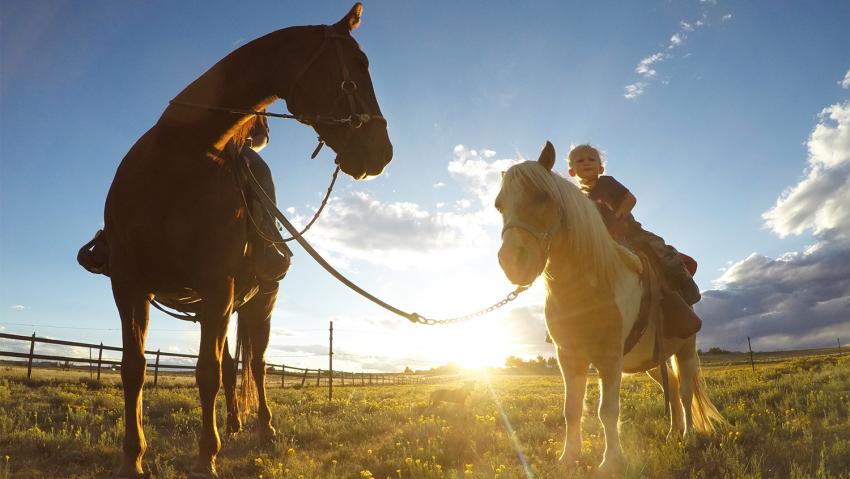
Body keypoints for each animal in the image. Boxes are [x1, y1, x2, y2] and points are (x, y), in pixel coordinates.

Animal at [93, 4, 392, 478]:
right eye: (358, 65)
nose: (381, 151)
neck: (176, 163)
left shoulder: (217, 286)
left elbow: (207, 373)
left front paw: (205, 458)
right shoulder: (129, 284)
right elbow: (133, 369)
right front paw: (132, 458)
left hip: (259, 300)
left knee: (258, 364)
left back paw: (264, 429)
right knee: (237, 365)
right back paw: (233, 423)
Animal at [495, 142, 725, 474]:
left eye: (543, 197)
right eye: (499, 206)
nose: (513, 262)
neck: (588, 288)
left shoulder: (609, 358)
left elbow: (608, 411)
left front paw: (611, 461)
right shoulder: (569, 357)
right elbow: (571, 409)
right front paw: (568, 458)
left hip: (685, 350)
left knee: (683, 392)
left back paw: (689, 437)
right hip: (652, 362)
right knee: (670, 388)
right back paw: (673, 433)